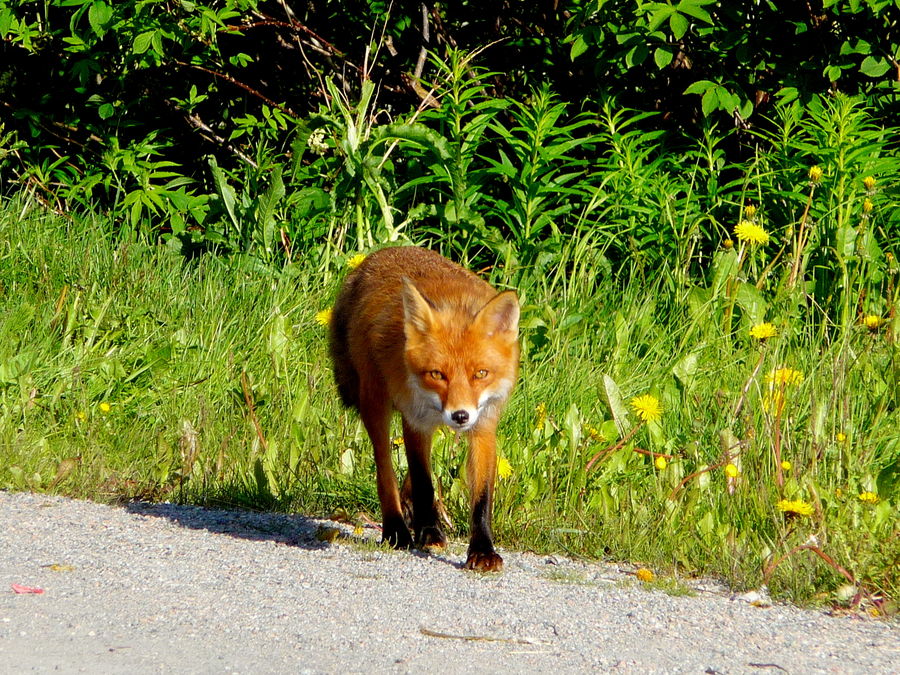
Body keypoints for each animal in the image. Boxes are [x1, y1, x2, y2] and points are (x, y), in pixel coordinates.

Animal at [328, 246, 520, 572]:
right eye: (437, 374)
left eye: (481, 374)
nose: (460, 415)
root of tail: (375, 257)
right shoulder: (416, 419)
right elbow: (423, 480)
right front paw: (429, 531)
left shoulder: (484, 424)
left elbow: (481, 498)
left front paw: (482, 550)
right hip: (375, 405)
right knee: (385, 471)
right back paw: (396, 529)